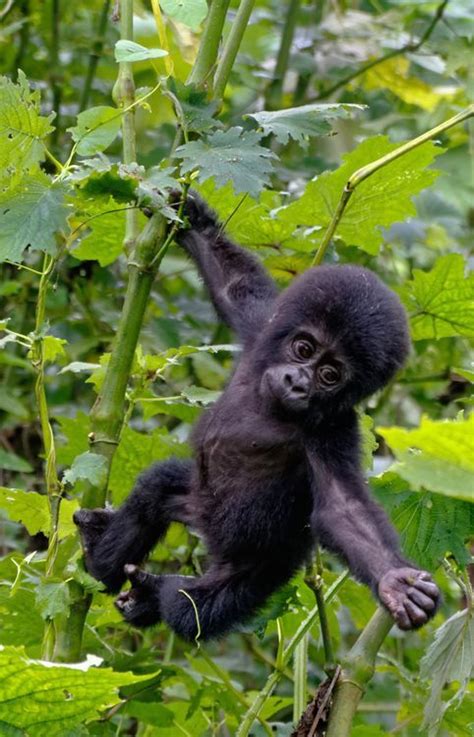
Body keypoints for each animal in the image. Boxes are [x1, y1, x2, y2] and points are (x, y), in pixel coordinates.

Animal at [75, 194, 440, 640]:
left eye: (330, 375)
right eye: (304, 349)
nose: (298, 382)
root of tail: (208, 536)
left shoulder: (333, 431)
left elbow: (344, 511)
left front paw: (394, 582)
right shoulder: (262, 328)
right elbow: (233, 284)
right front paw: (192, 215)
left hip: (260, 568)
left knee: (194, 608)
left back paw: (152, 597)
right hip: (196, 503)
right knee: (156, 488)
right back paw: (101, 563)